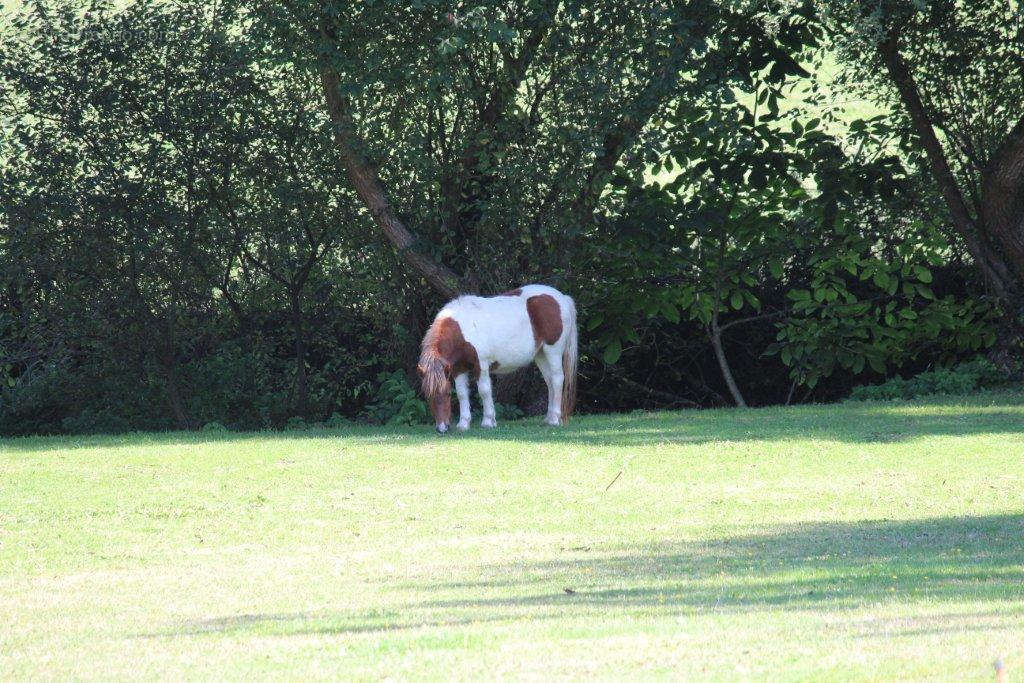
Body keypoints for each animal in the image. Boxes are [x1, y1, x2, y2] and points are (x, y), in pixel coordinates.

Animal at [415, 282, 577, 432]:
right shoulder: (458, 369)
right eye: (428, 396)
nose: (442, 428)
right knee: (549, 382)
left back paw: (555, 419)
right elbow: (462, 394)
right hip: (541, 355)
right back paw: (549, 418)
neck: (462, 330)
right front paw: (463, 424)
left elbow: (484, 390)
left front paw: (488, 421)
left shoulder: (481, 364)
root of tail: (562, 297)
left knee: (557, 379)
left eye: (448, 394)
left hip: (553, 351)